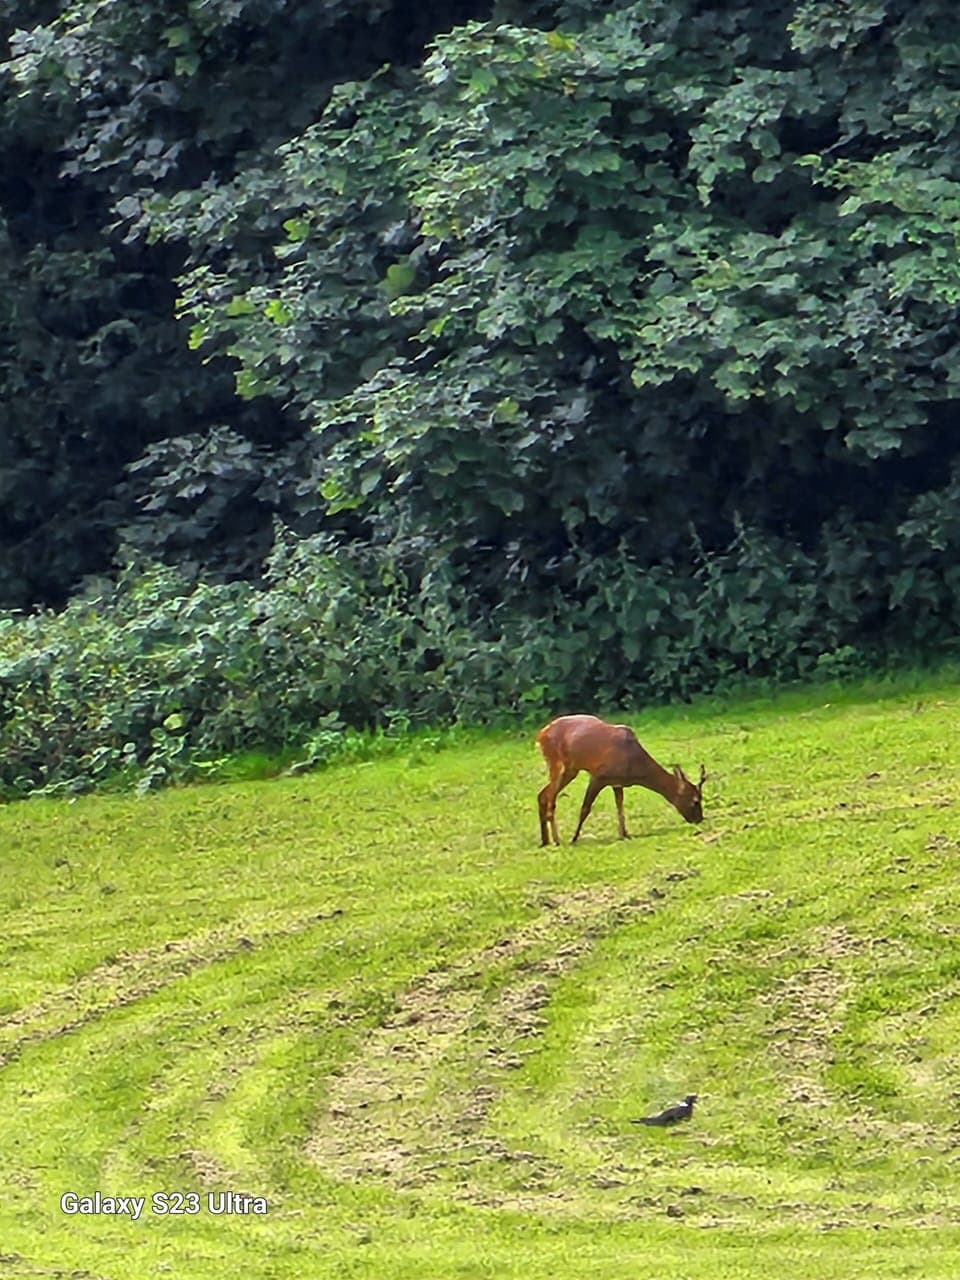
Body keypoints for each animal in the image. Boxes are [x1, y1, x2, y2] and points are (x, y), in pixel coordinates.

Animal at [537, 714, 706, 846]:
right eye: (695, 800)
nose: (699, 819)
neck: (634, 765)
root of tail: (540, 735)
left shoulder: (617, 782)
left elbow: (620, 806)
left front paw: (624, 833)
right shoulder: (599, 776)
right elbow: (585, 808)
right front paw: (574, 837)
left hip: (571, 770)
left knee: (542, 794)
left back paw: (545, 840)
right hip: (556, 763)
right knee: (551, 799)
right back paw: (556, 840)